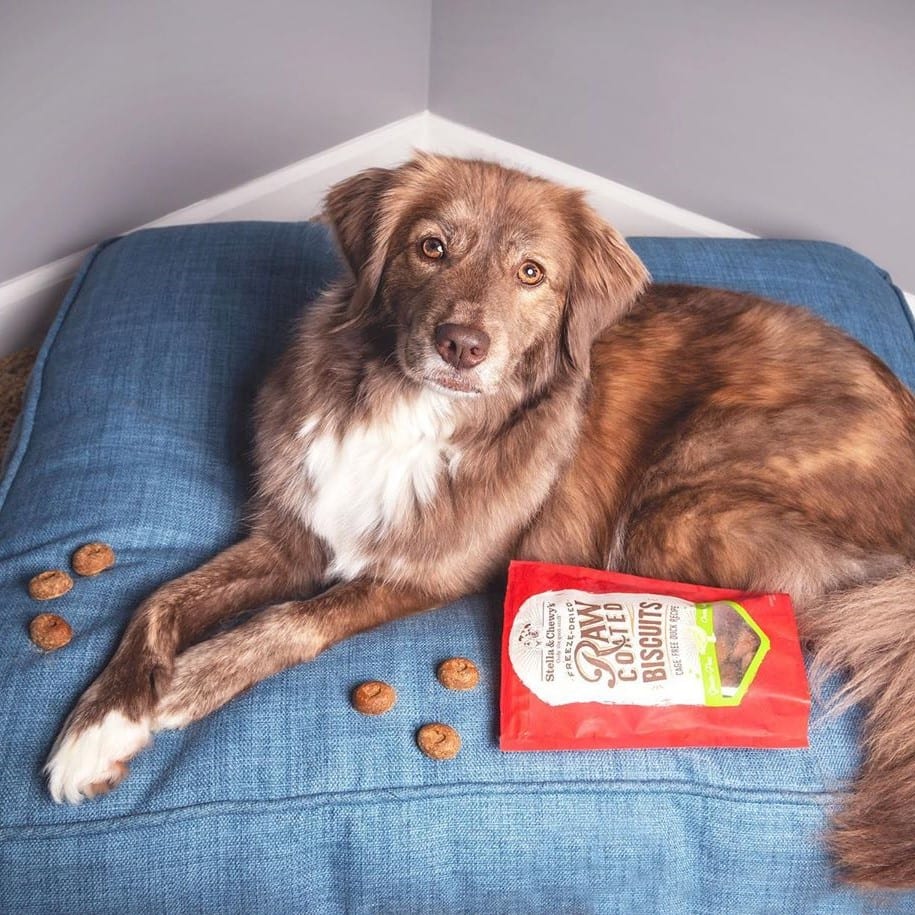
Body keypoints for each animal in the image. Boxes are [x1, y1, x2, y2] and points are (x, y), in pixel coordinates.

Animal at [46, 156, 915, 888]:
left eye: (531, 273)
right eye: (430, 248)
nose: (461, 344)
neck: (408, 409)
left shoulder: (429, 571)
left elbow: (293, 620)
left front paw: (193, 679)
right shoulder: (292, 534)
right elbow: (156, 598)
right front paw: (101, 724)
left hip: (675, 507)